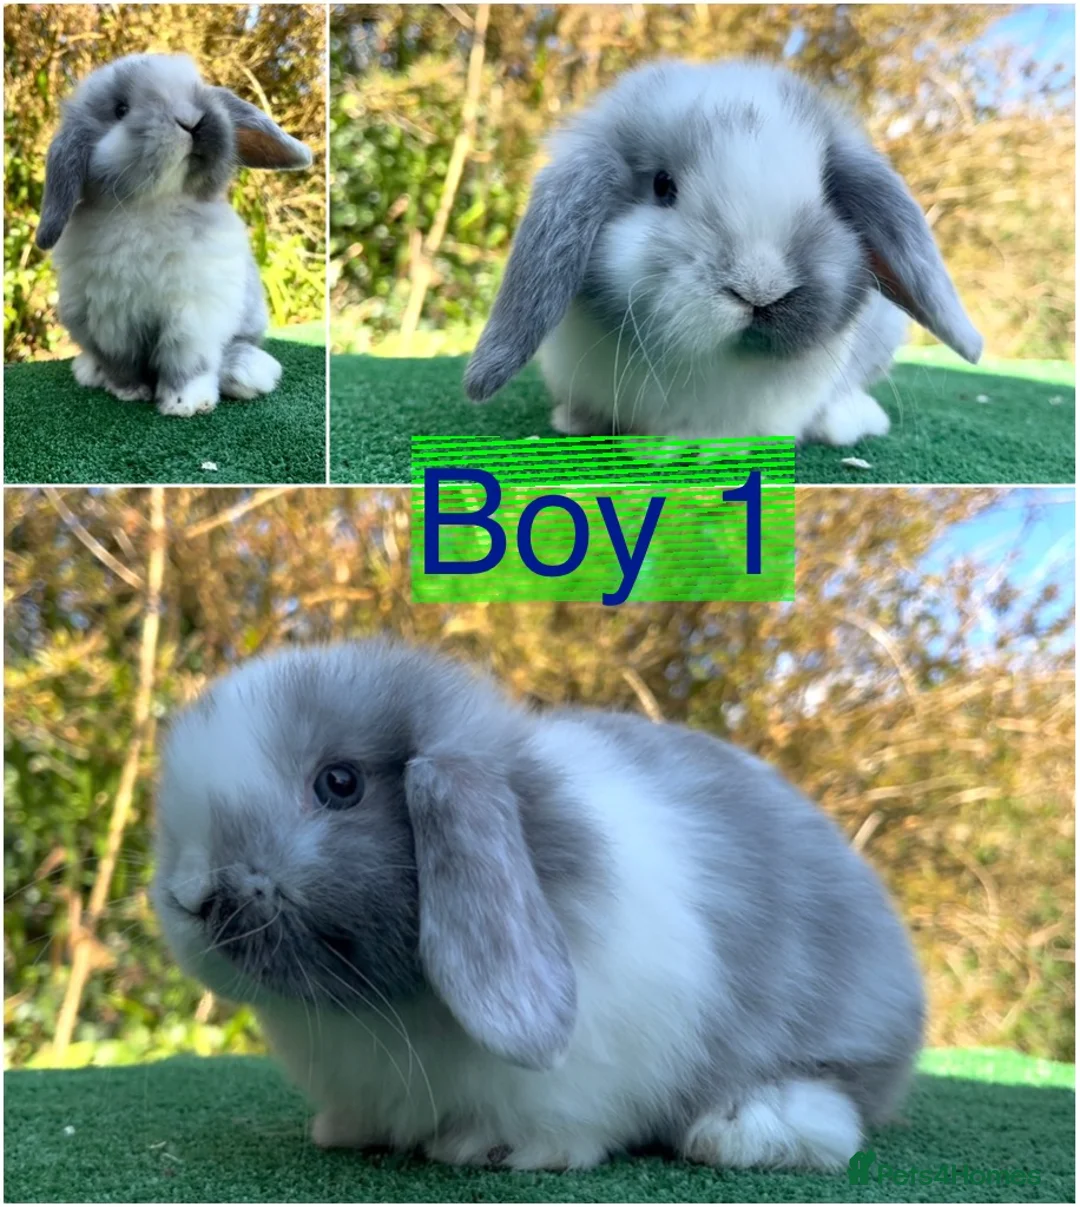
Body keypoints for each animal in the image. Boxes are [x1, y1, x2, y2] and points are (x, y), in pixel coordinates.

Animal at [35, 53, 311, 418]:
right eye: (121, 109)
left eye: (197, 90)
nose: (192, 121)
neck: (154, 205)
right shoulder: (109, 317)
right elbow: (121, 363)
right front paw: (128, 392)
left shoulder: (194, 314)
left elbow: (187, 362)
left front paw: (186, 405)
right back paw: (90, 371)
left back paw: (247, 373)